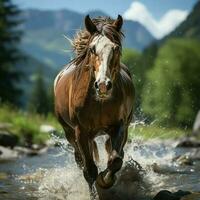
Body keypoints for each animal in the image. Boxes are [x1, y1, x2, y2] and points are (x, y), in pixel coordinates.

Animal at [53, 14, 134, 196]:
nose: (103, 85)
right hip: (70, 132)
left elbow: (115, 160)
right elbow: (89, 170)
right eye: (92, 49)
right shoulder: (81, 131)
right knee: (80, 159)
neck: (99, 102)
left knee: (114, 151)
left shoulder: (118, 126)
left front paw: (105, 180)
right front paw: (95, 191)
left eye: (116, 48)